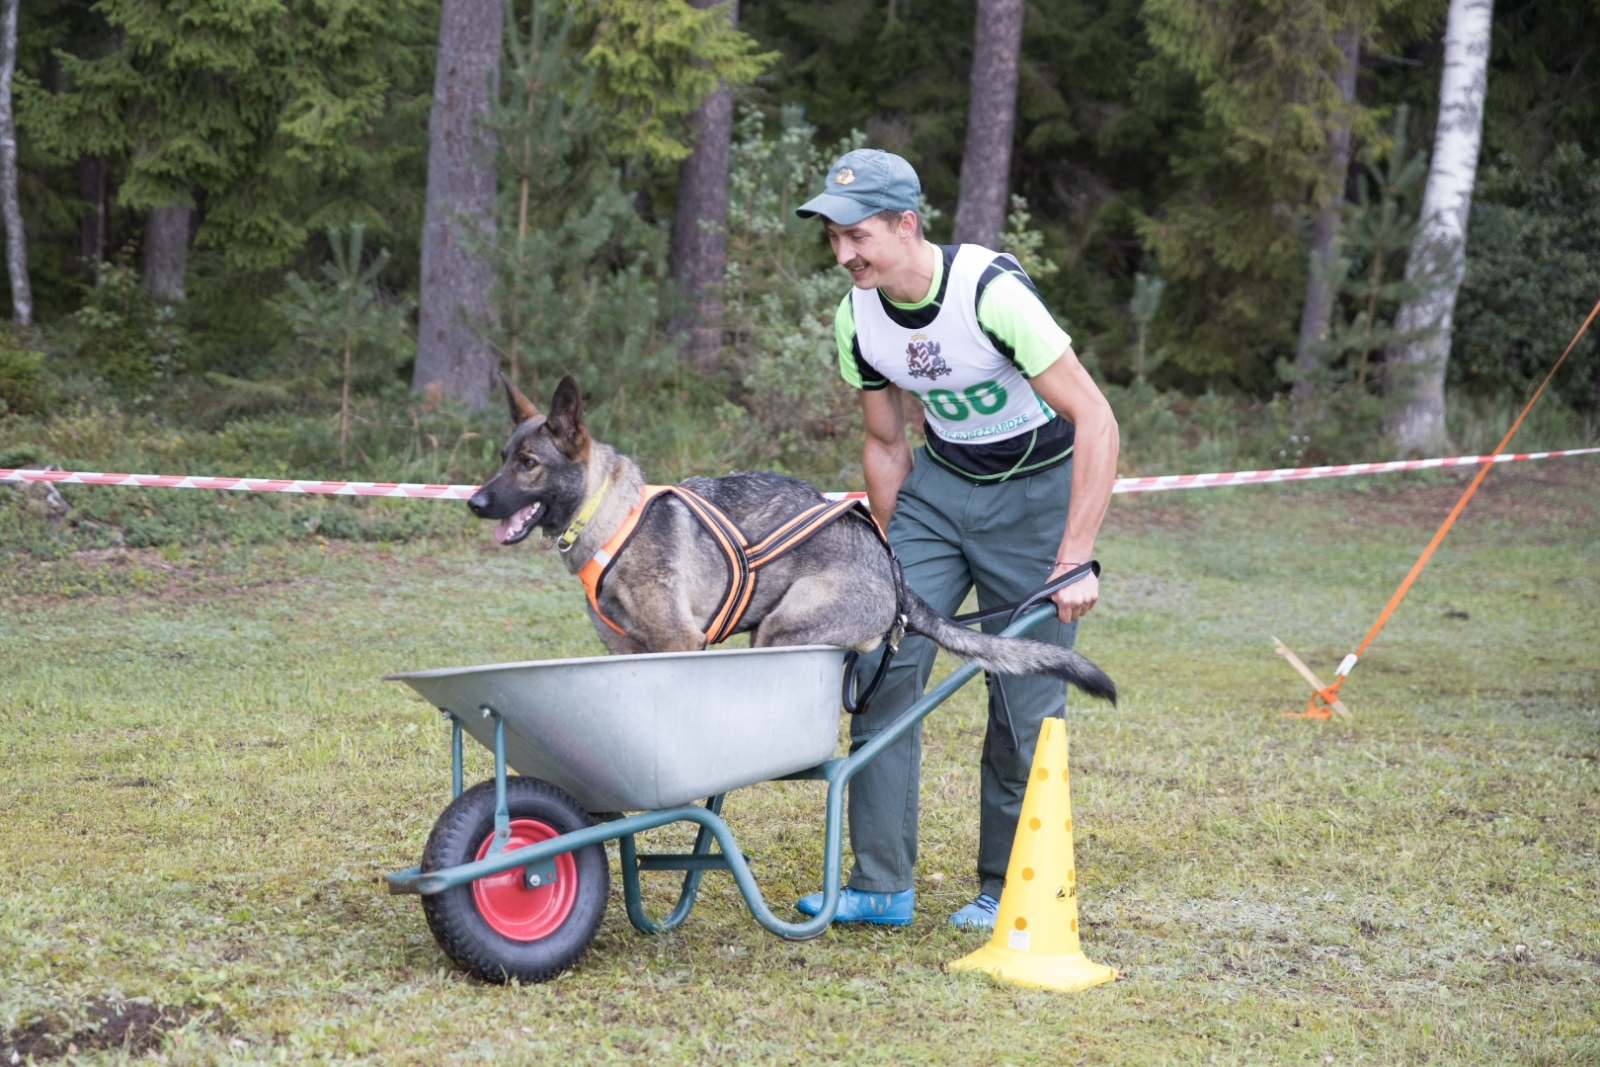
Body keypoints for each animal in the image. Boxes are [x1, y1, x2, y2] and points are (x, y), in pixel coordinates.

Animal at [464, 374, 1113, 700]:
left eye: (528, 464)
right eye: (501, 459)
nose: (474, 502)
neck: (608, 516)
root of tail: (895, 578)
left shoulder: (680, 643)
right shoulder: (625, 655)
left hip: (779, 632)